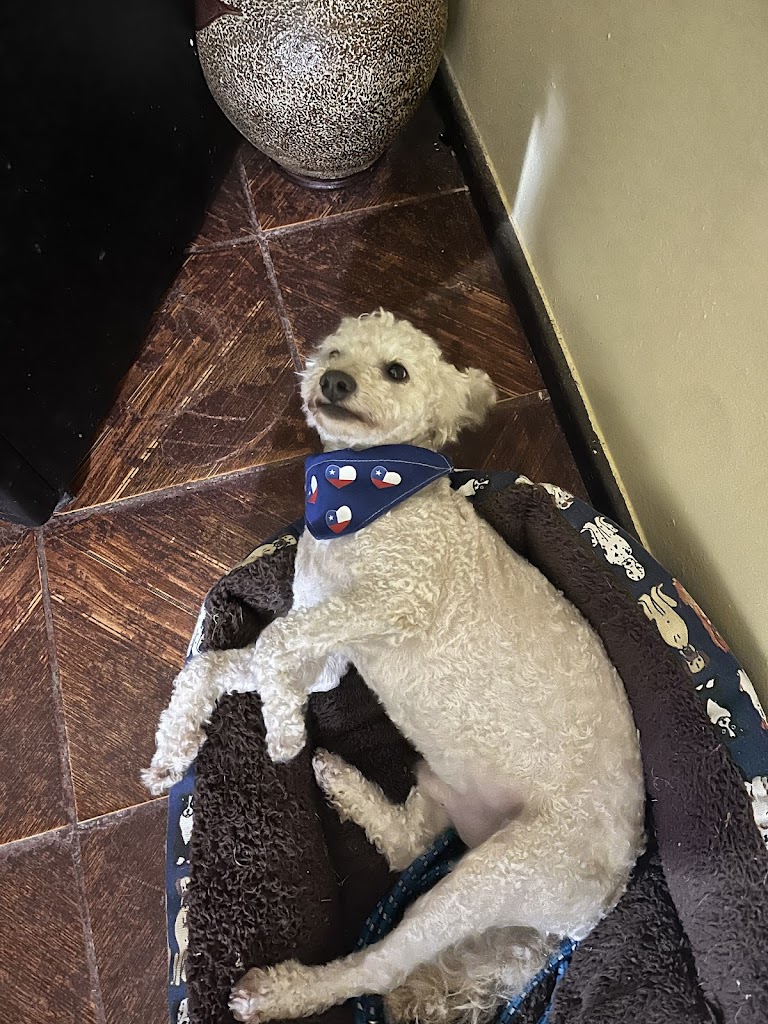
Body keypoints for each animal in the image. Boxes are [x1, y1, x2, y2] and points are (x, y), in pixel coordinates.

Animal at [144, 310, 645, 1024]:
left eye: (397, 371)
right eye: (332, 351)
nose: (332, 380)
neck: (369, 496)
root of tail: (590, 915)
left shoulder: (393, 599)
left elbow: (272, 646)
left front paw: (282, 728)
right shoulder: (329, 648)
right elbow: (221, 664)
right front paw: (178, 749)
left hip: (494, 875)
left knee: (380, 964)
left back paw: (280, 993)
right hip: (444, 794)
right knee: (407, 843)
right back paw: (340, 781)